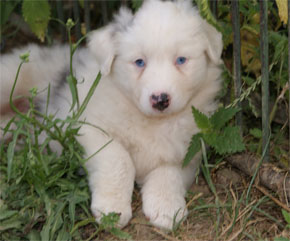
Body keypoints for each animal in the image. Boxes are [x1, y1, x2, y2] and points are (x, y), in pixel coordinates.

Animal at [0, 0, 222, 230]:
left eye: (181, 60)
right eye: (139, 62)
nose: (160, 99)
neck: (150, 122)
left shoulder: (188, 149)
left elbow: (168, 173)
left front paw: (167, 208)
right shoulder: (89, 128)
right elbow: (119, 160)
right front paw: (112, 210)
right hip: (11, 77)